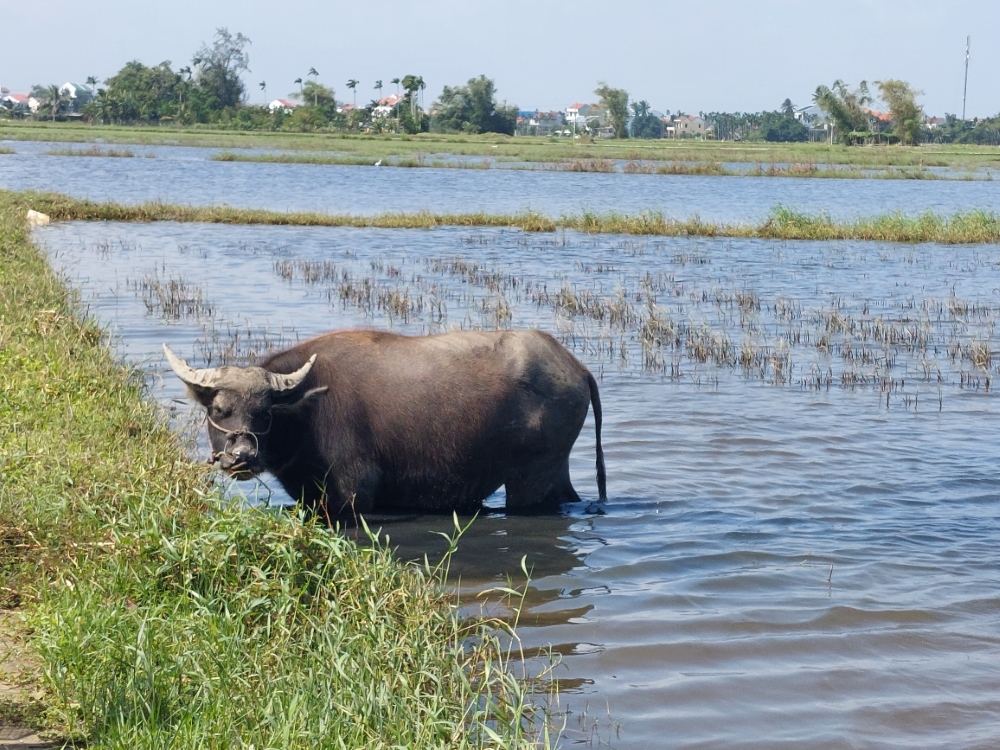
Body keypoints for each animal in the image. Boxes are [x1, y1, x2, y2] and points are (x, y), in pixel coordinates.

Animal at [164, 332, 604, 520]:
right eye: (220, 409)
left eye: (265, 413)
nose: (242, 456)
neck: (307, 410)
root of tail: (577, 367)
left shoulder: (355, 491)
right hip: (553, 472)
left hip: (531, 478)